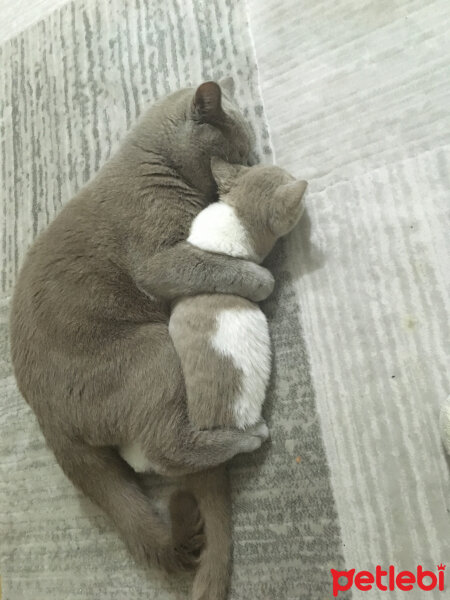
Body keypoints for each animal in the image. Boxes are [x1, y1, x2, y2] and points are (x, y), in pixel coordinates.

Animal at [7, 79, 274, 572]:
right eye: (237, 151)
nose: (248, 166)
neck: (157, 166)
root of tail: (48, 419)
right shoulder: (159, 262)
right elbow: (212, 265)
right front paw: (259, 279)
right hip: (153, 348)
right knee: (166, 452)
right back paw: (246, 438)